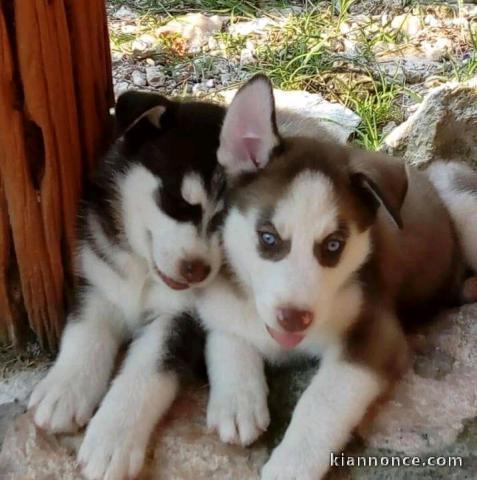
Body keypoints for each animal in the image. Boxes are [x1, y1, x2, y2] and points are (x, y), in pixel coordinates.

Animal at [28, 92, 226, 480]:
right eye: (177, 202)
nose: (197, 270)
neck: (144, 272)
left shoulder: (180, 320)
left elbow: (146, 373)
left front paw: (111, 440)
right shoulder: (98, 283)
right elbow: (85, 336)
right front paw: (64, 389)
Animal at [195, 76, 466, 480]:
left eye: (334, 245)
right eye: (268, 238)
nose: (293, 319)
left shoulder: (375, 333)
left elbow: (322, 401)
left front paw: (291, 464)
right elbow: (228, 334)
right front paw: (236, 399)